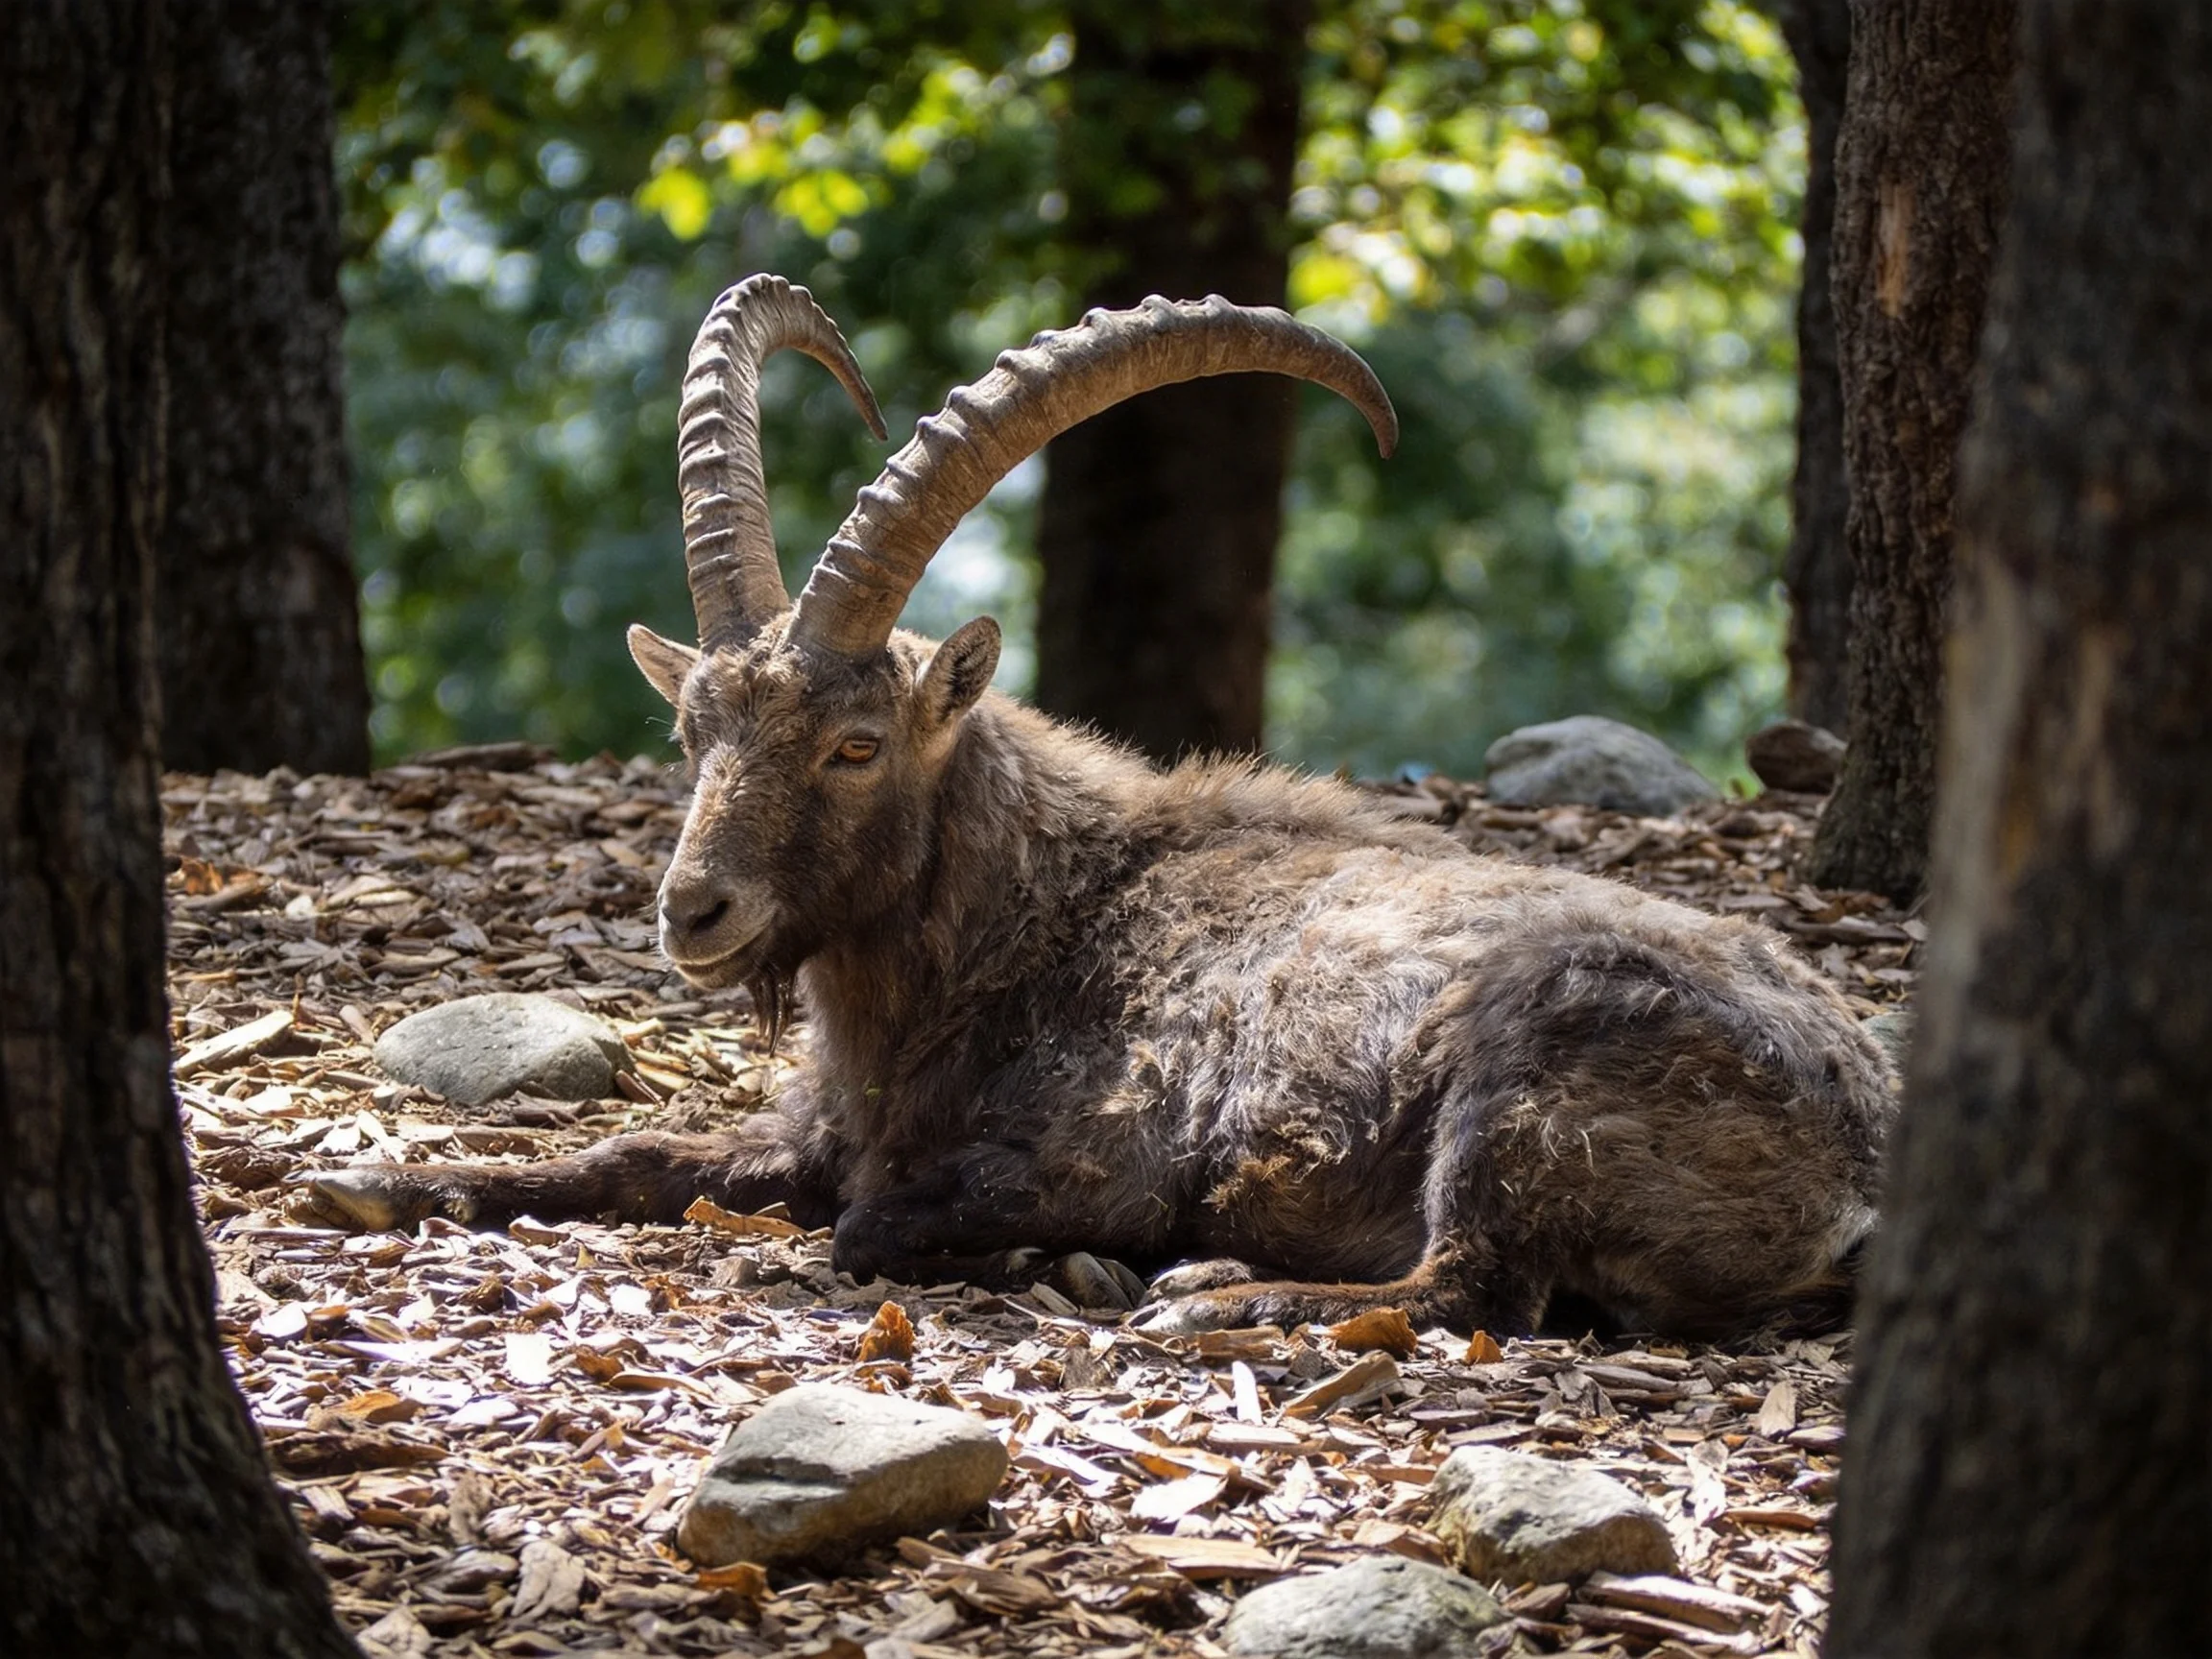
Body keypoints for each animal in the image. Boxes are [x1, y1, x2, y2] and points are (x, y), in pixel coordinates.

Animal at [310, 276, 1896, 1339]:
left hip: (1522, 1082)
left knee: (1473, 1287)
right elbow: (628, 1154)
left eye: (856, 745)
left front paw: (1065, 1266)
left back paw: (1214, 1297)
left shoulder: (1098, 1153)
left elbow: (870, 1229)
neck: (1030, 922)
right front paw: (364, 1185)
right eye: (693, 731)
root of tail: (1863, 1156)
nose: (693, 911)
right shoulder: (817, 1129)